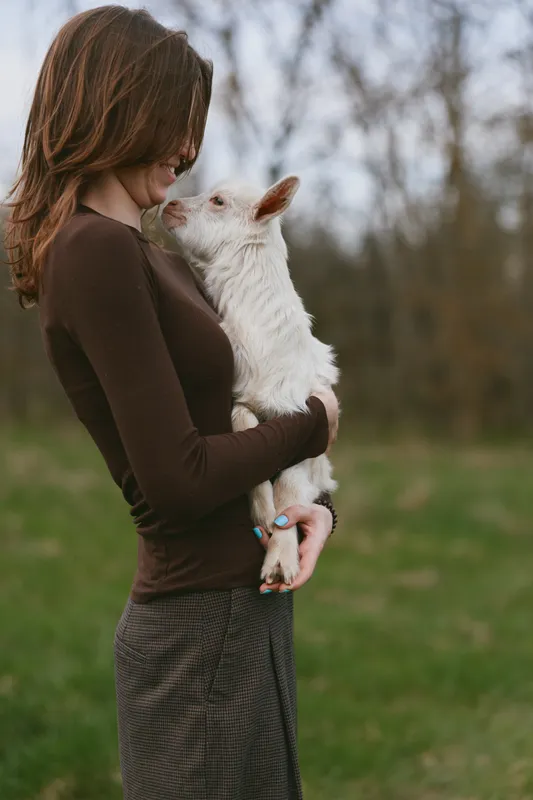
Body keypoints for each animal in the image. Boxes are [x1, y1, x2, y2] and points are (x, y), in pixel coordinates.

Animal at [161, 176, 338, 584]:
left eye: (218, 201)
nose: (169, 206)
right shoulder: (243, 397)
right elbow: (244, 423)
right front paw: (263, 514)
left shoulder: (305, 413)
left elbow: (290, 486)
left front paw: (281, 559)